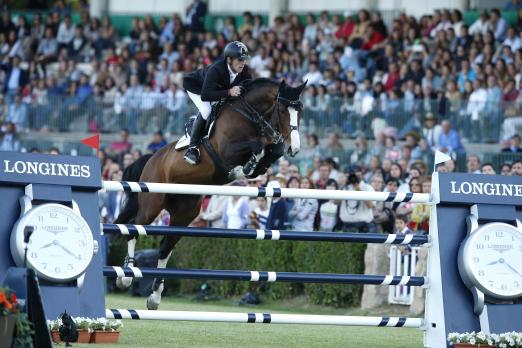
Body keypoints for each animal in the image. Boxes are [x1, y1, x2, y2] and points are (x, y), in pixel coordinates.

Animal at [112, 77, 304, 308]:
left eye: (300, 111)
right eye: (283, 110)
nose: (294, 149)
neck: (249, 114)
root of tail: (151, 158)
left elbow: (270, 151)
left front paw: (252, 165)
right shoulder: (227, 150)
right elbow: (258, 146)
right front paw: (243, 167)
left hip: (184, 214)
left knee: (165, 246)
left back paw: (155, 296)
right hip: (152, 203)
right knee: (134, 228)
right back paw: (126, 276)